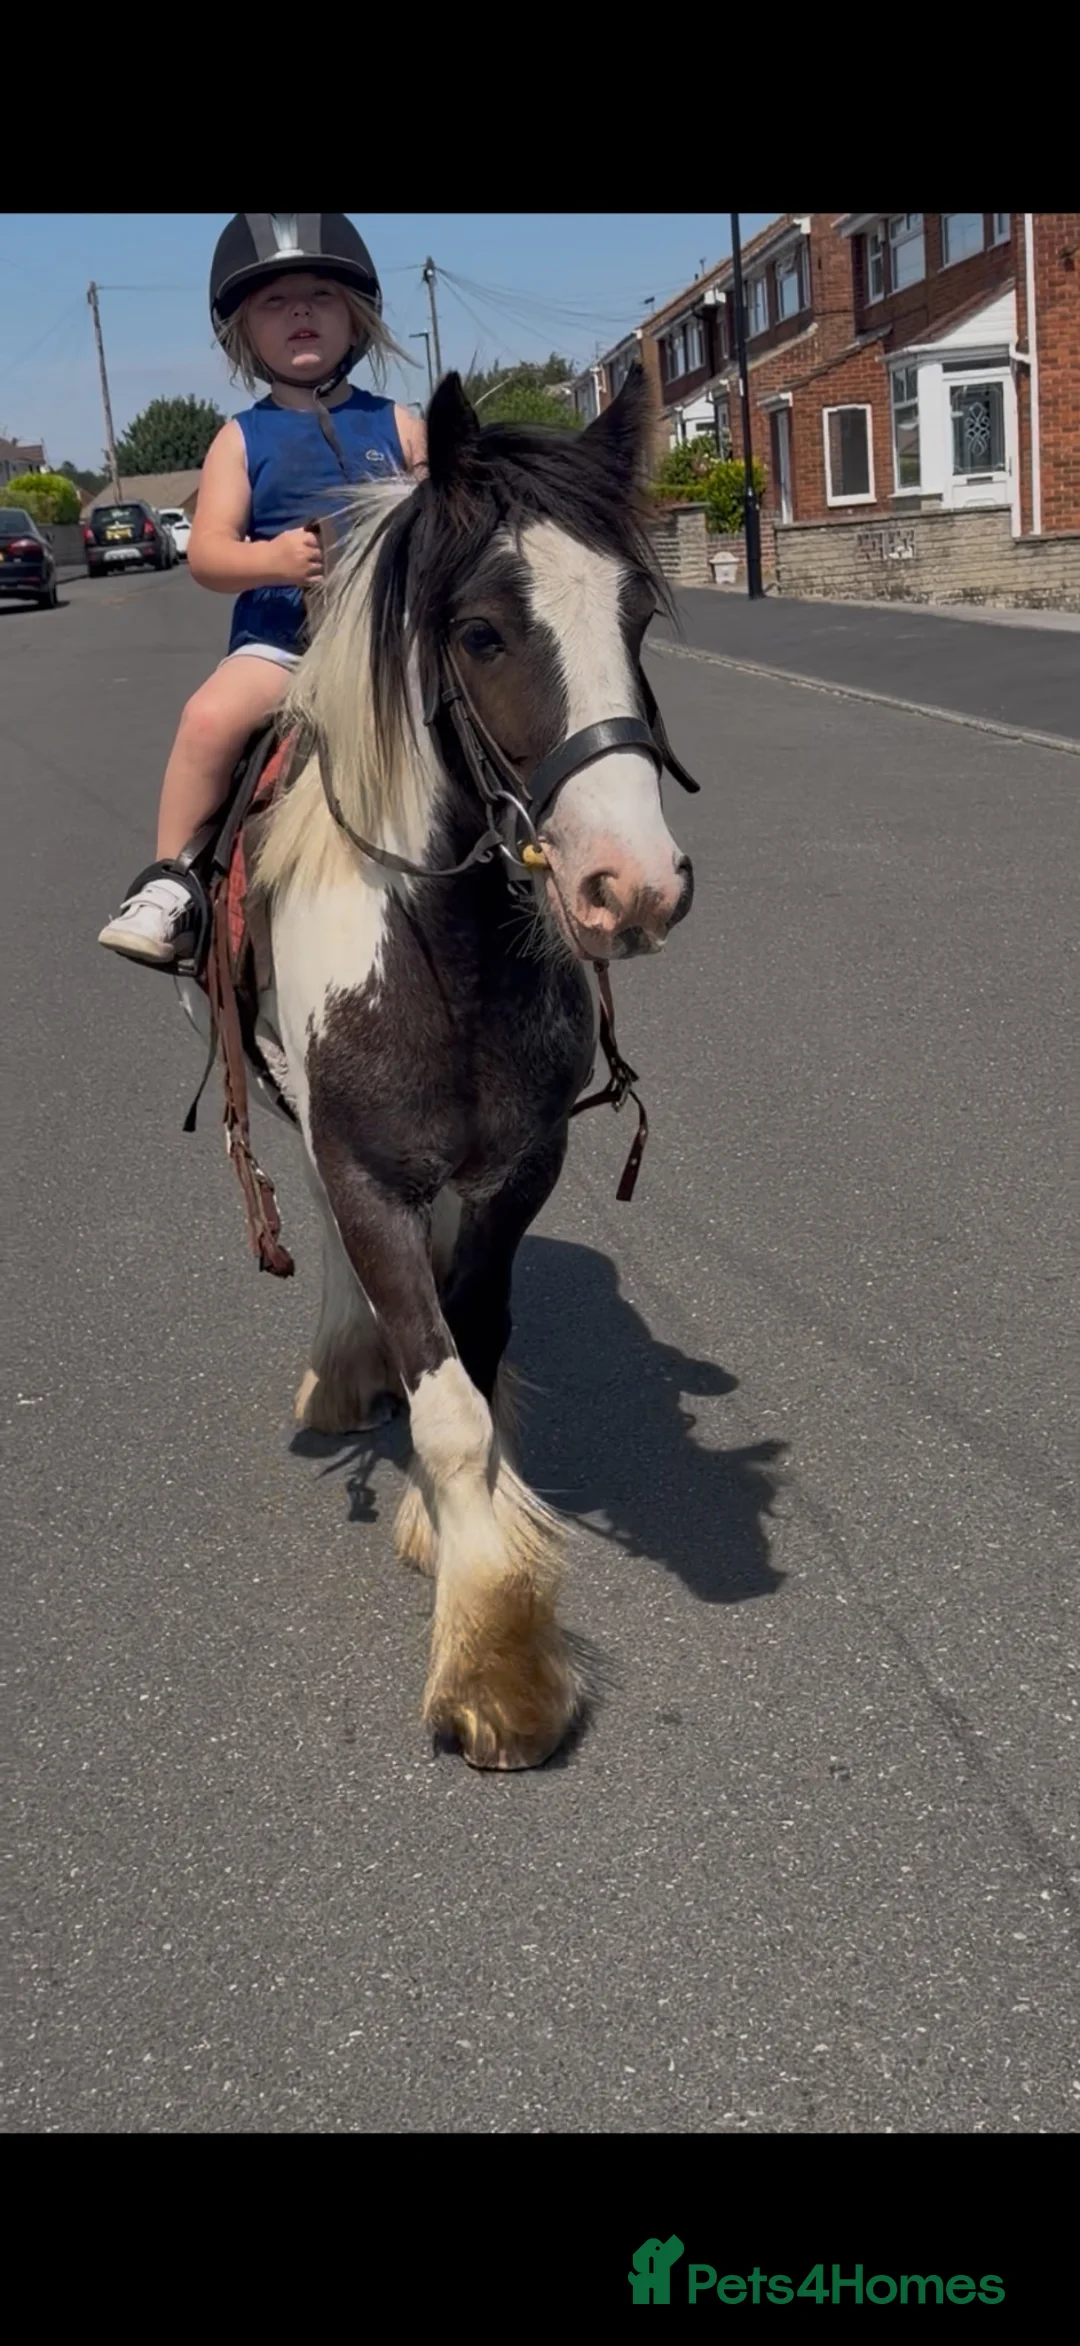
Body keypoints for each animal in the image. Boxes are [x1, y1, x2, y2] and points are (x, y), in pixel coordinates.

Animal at [236, 363, 697, 1771]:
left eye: (637, 616)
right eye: (484, 634)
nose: (632, 887)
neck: (446, 953)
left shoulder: (517, 1175)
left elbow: (475, 1354)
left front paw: (457, 1538)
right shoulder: (361, 1168)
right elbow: (443, 1400)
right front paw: (498, 1671)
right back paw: (346, 1370)